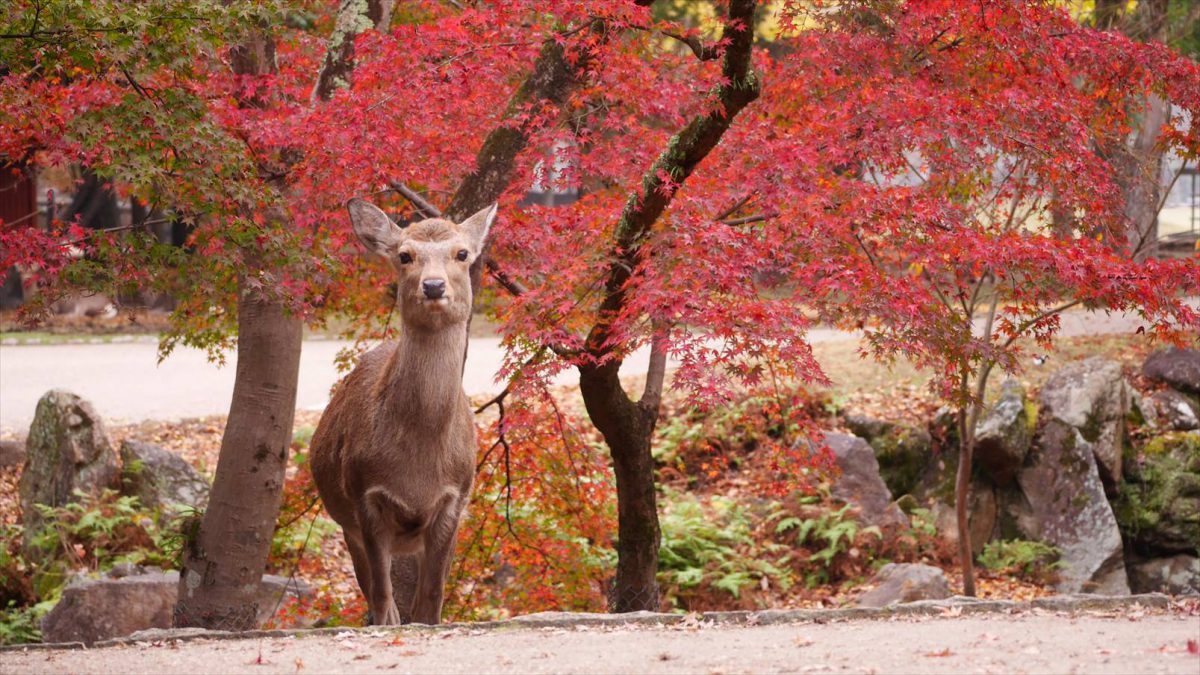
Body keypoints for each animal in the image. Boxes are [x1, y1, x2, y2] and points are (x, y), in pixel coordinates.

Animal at [309, 198, 495, 625]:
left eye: (462, 253)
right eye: (404, 255)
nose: (433, 285)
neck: (417, 472)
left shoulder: (455, 497)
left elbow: (433, 595)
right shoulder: (364, 493)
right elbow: (381, 593)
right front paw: (387, 624)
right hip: (347, 523)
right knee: (372, 588)